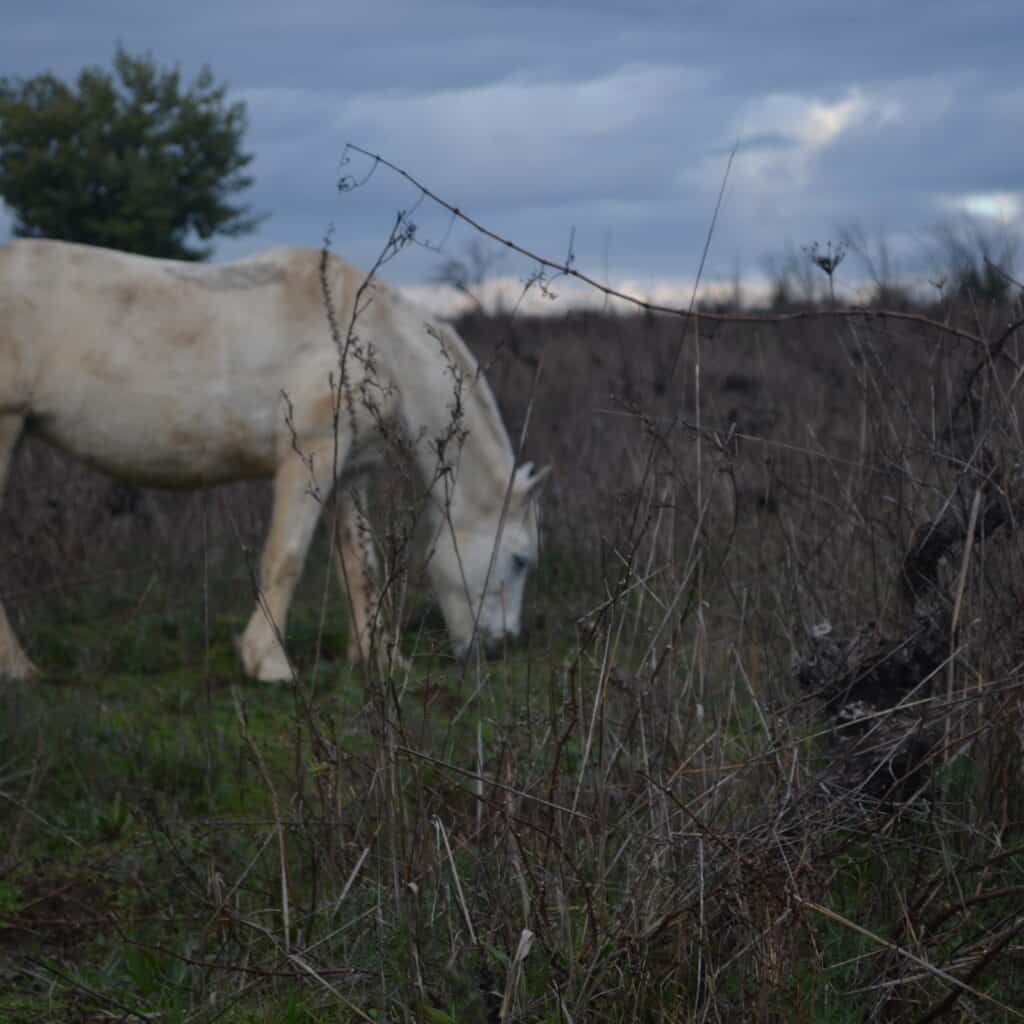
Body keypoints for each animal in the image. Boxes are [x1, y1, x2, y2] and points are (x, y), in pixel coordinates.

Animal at [0, 239, 548, 681]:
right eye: (520, 560)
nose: (499, 648)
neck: (370, 338)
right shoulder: (310, 457)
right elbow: (286, 557)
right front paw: (269, 664)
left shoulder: (350, 471)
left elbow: (361, 565)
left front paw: (381, 660)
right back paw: (19, 669)